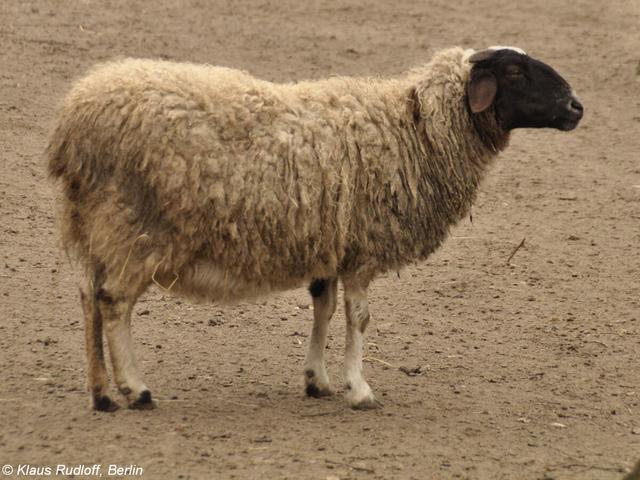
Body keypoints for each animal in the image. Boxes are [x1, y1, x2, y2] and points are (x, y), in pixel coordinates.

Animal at [47, 46, 583, 411]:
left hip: (92, 225)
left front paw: (317, 380)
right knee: (114, 304)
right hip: (136, 228)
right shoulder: (363, 247)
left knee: (89, 300)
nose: (577, 107)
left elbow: (322, 308)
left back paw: (100, 393)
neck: (416, 130)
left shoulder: (331, 243)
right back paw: (135, 389)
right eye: (515, 71)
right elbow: (358, 318)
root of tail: (73, 121)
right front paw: (360, 389)